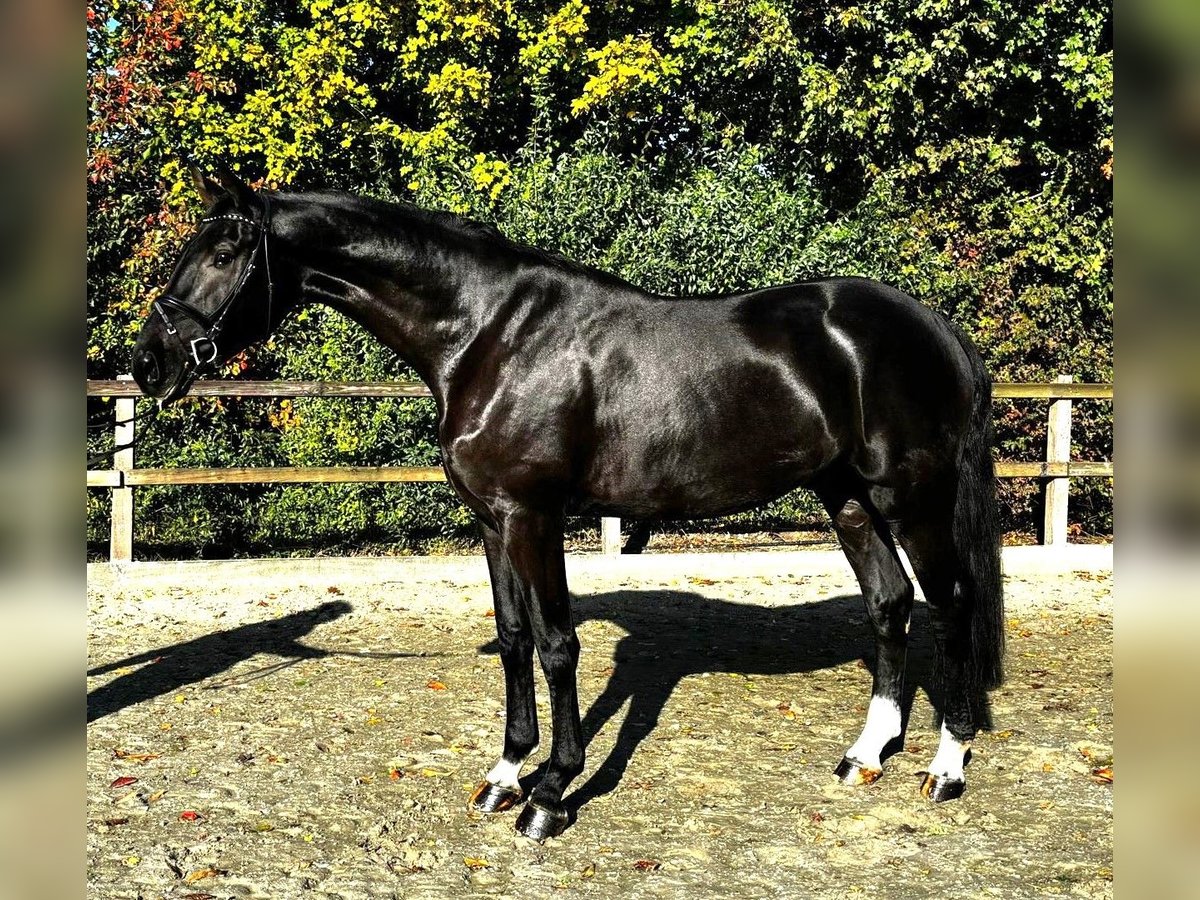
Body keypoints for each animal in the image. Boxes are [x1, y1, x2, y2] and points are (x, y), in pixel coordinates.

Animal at [129, 170, 1003, 844]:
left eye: (225, 252)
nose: (148, 363)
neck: (489, 335)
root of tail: (932, 324)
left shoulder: (534, 515)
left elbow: (556, 645)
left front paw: (551, 793)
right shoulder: (492, 519)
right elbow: (515, 638)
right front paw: (504, 774)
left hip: (912, 499)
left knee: (951, 604)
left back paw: (946, 766)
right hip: (847, 497)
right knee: (889, 602)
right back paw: (866, 754)